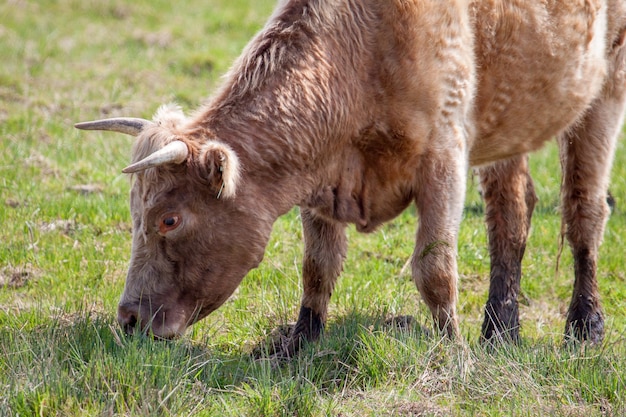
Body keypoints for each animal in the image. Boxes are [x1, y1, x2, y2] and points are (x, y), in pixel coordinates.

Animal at [75, 0, 624, 354]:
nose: (128, 319)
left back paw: (586, 326)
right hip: (510, 123)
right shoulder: (320, 180)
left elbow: (434, 267)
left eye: (169, 220)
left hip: (606, 90)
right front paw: (300, 341)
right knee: (510, 213)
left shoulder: (444, 156)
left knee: (584, 211)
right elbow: (317, 265)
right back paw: (500, 331)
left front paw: (453, 351)